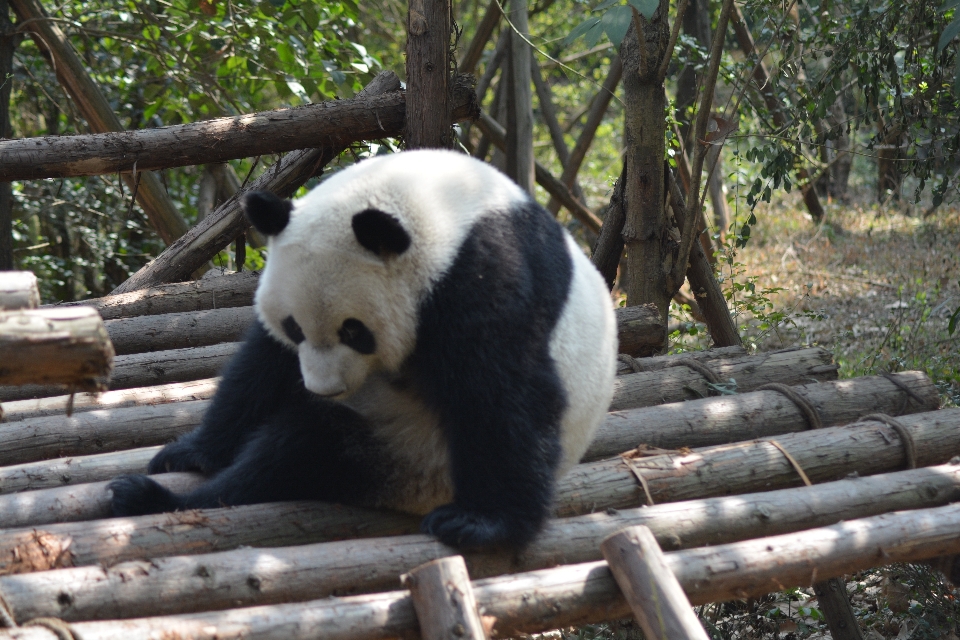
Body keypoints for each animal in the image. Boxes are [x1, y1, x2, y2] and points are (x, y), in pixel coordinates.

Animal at [109, 150, 620, 552]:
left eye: (355, 332)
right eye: (294, 327)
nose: (323, 388)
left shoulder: (483, 274)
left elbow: (503, 392)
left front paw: (483, 524)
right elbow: (261, 364)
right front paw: (193, 451)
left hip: (410, 457)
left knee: (296, 451)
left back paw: (151, 498)